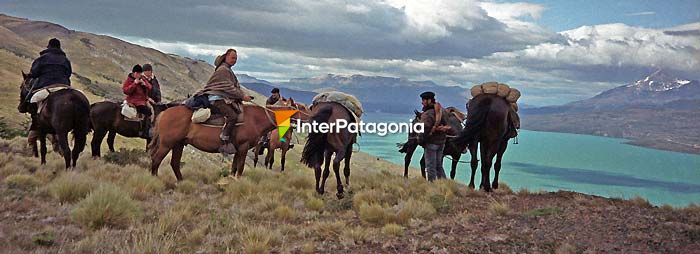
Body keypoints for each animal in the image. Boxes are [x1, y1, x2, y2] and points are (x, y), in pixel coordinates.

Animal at [149, 103, 300, 181]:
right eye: (298, 110)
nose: (296, 125)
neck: (254, 119)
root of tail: (164, 113)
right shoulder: (244, 147)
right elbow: (240, 167)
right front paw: (238, 181)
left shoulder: (238, 149)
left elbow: (234, 167)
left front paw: (232, 180)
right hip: (167, 144)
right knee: (156, 159)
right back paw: (155, 179)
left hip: (178, 144)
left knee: (174, 163)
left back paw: (181, 181)